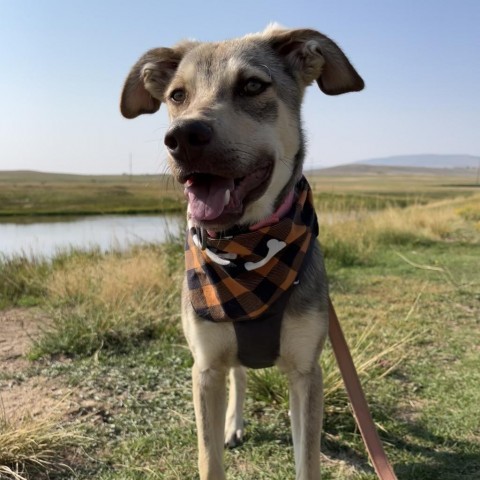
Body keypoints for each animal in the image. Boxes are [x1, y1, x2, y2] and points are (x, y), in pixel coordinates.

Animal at [121, 24, 364, 478]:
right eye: (177, 95)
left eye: (252, 85)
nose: (182, 138)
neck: (246, 255)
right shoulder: (205, 368)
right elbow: (209, 457)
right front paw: (224, 433)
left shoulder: (307, 371)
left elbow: (307, 458)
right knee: (240, 374)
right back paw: (233, 423)